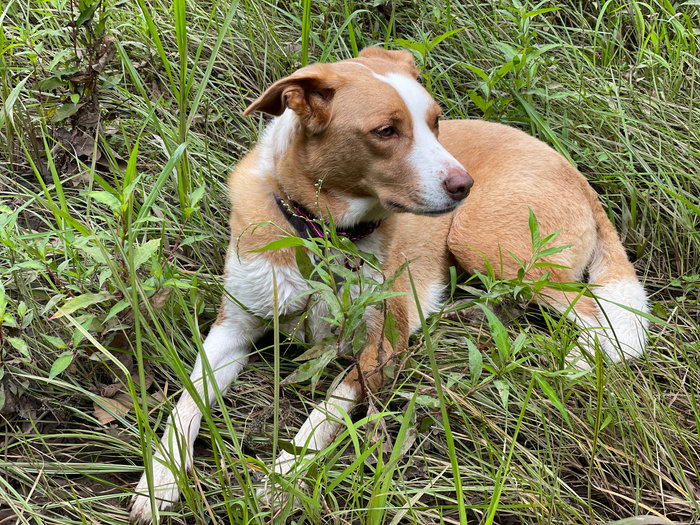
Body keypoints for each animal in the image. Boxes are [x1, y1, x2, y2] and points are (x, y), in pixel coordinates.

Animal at [129, 47, 648, 520]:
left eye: (436, 122)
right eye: (386, 131)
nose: (465, 185)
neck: (322, 234)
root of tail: (574, 172)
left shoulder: (384, 344)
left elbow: (324, 414)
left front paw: (282, 481)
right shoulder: (233, 328)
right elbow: (185, 402)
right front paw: (160, 482)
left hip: (488, 246)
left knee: (599, 319)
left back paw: (571, 368)